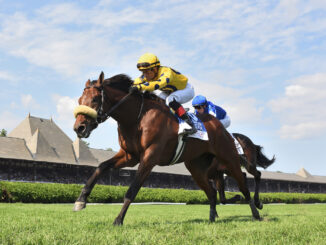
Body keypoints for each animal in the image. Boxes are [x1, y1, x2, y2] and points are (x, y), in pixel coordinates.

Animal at [72, 72, 262, 225]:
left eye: (95, 99)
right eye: (80, 100)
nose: (79, 128)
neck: (137, 117)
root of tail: (220, 127)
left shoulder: (149, 157)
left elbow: (132, 190)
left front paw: (118, 220)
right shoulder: (129, 155)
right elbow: (101, 166)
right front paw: (81, 200)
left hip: (229, 159)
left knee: (245, 184)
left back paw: (256, 213)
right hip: (197, 168)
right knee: (212, 192)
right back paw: (211, 219)